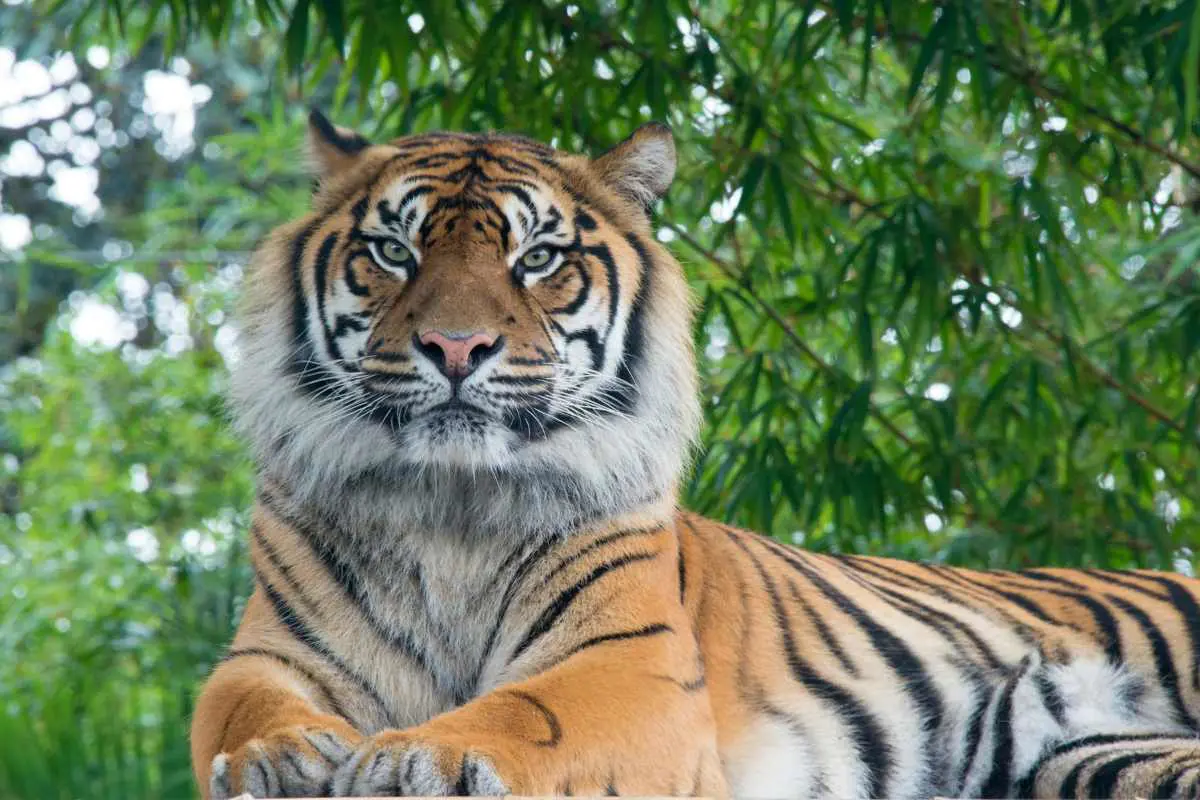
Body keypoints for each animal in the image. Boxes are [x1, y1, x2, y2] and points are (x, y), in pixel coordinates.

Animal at [191, 109, 1200, 800]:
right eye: (393, 252)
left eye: (538, 258)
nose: (454, 346)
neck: (453, 506)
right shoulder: (267, 654)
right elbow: (239, 707)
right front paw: (283, 756)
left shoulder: (631, 663)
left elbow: (530, 710)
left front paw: (418, 754)